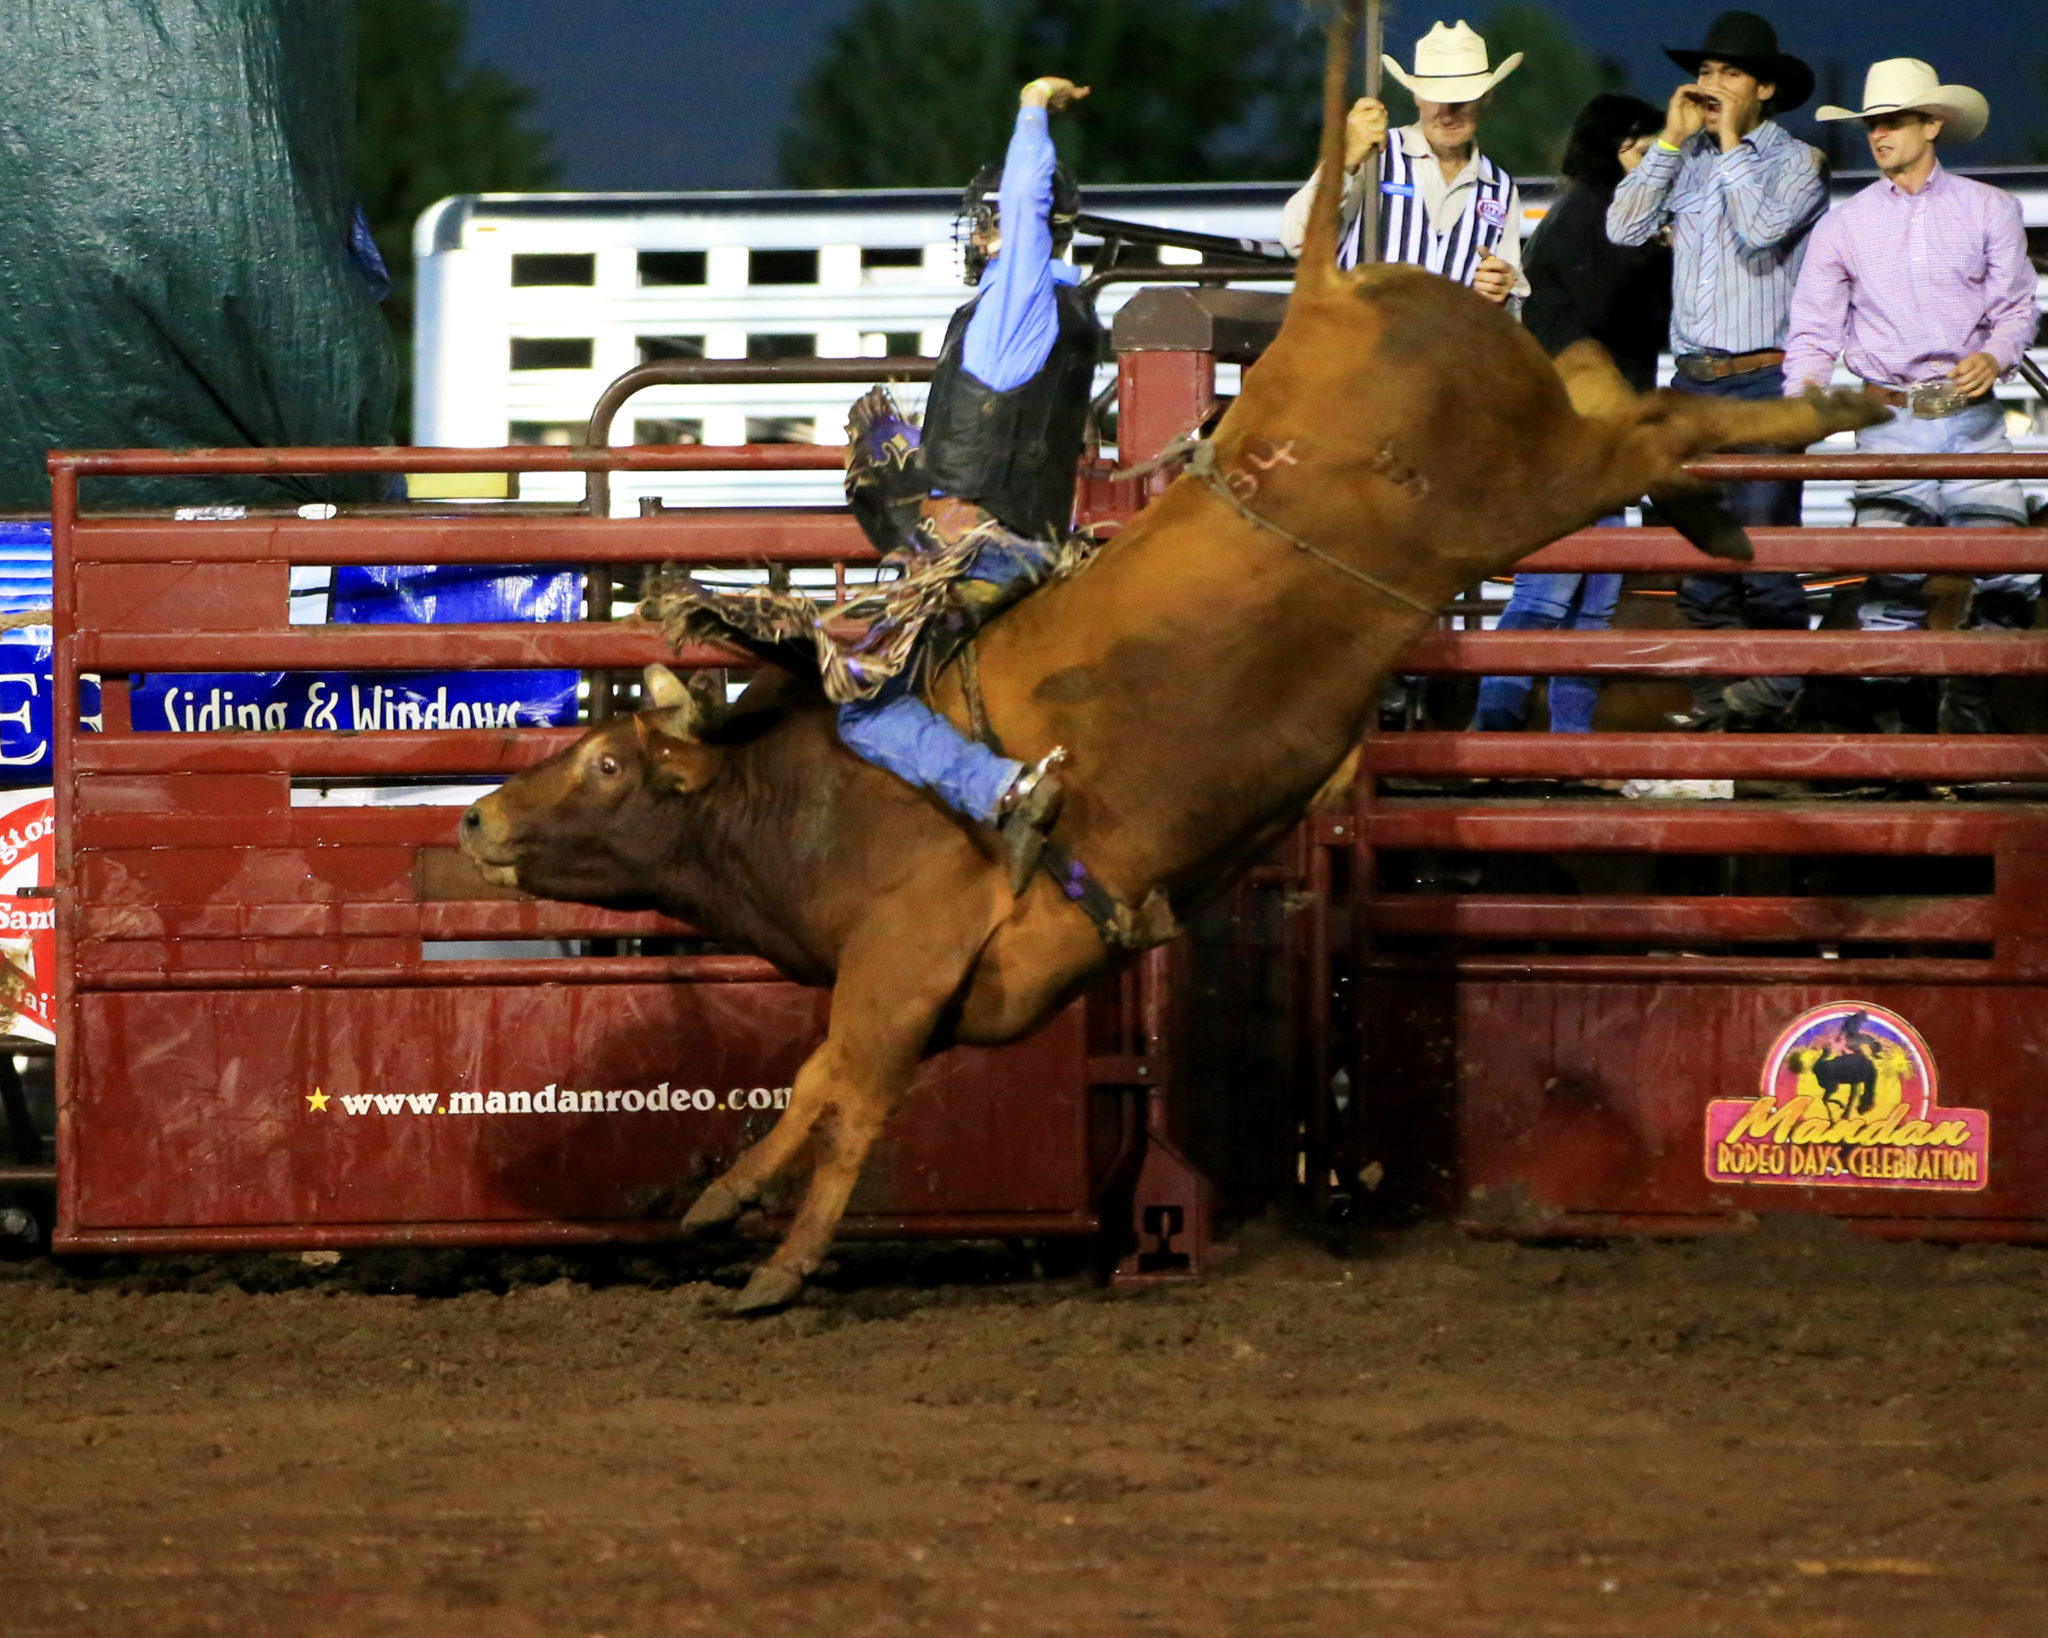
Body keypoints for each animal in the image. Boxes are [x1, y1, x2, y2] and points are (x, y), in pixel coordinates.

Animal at [460, 2, 1880, 1313]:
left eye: (600, 763)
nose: (474, 822)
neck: (805, 795)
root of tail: (1324, 298)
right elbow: (819, 1088)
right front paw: (718, 1207)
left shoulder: (902, 962)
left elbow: (839, 1090)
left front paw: (768, 1261)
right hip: (1537, 440)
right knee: (1601, 373)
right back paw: (1723, 501)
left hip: (1520, 488)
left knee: (1646, 422)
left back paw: (1821, 413)